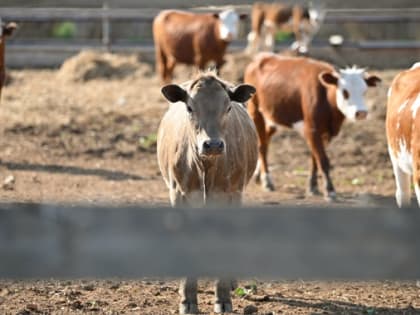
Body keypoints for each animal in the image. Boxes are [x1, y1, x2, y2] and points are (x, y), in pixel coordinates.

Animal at [157, 70, 258, 314]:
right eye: (189, 107)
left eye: (228, 107)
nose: (212, 145)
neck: (206, 167)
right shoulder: (179, 195)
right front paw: (187, 299)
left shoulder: (231, 195)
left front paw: (223, 299)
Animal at [244, 54, 382, 201]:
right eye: (345, 92)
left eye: (364, 91)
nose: (361, 113)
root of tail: (261, 57)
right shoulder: (312, 130)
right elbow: (323, 160)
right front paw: (330, 190)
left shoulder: (325, 134)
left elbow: (314, 159)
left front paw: (313, 186)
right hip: (255, 112)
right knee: (262, 146)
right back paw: (267, 181)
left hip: (273, 118)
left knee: (265, 140)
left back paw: (257, 175)